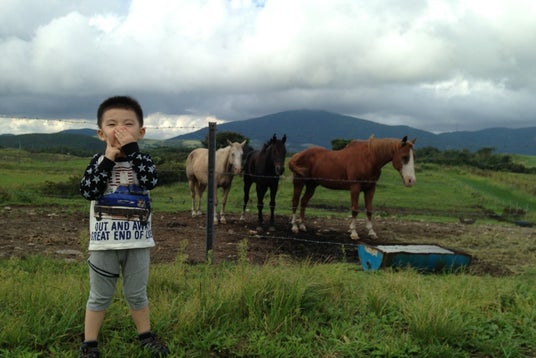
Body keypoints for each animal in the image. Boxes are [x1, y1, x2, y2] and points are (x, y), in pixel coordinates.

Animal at [286, 136, 416, 239]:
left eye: (413, 157)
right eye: (404, 157)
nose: (411, 180)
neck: (368, 159)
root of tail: (297, 155)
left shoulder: (370, 189)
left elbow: (369, 210)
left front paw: (371, 232)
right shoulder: (355, 187)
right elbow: (355, 209)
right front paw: (353, 232)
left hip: (311, 185)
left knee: (303, 202)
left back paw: (302, 225)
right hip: (299, 182)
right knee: (295, 201)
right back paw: (294, 226)